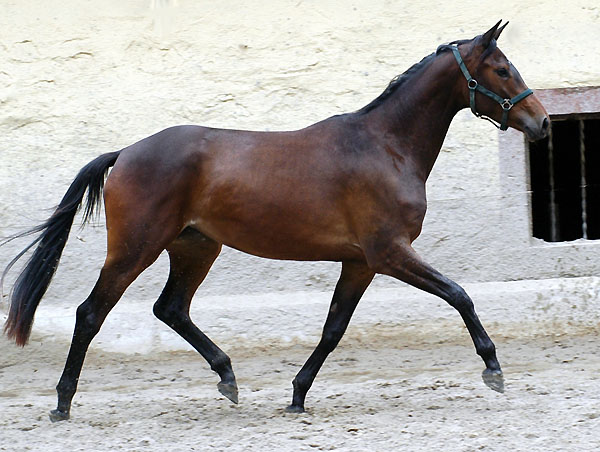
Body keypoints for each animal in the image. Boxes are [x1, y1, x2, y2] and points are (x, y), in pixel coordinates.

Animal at [2, 22, 552, 424]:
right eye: (502, 69)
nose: (542, 122)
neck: (385, 145)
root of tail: (126, 152)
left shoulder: (360, 262)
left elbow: (333, 328)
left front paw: (297, 395)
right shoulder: (389, 252)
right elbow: (459, 294)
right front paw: (493, 368)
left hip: (195, 247)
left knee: (171, 308)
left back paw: (227, 378)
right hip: (136, 249)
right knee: (91, 314)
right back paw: (62, 403)